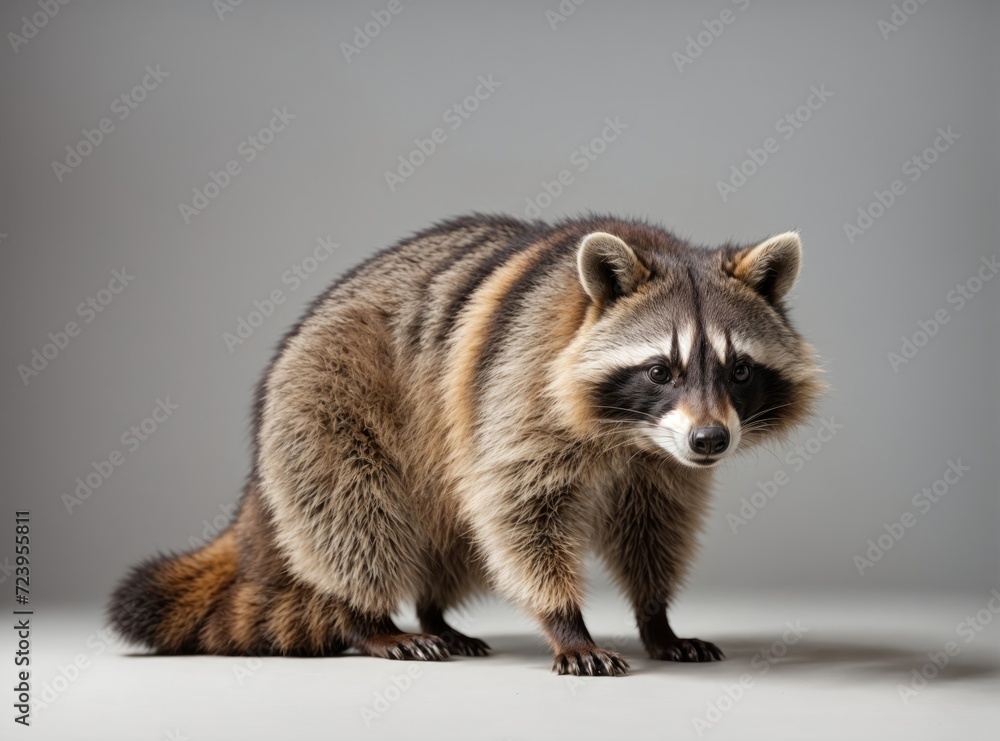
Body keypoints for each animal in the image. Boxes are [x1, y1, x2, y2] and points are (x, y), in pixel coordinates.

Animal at [110, 214, 822, 676]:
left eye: (739, 370)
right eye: (660, 371)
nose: (711, 439)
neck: (629, 434)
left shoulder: (662, 459)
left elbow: (653, 523)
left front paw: (655, 615)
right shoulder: (520, 385)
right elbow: (520, 512)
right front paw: (567, 622)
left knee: (455, 536)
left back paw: (433, 614)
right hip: (327, 397)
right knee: (354, 513)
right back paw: (368, 619)